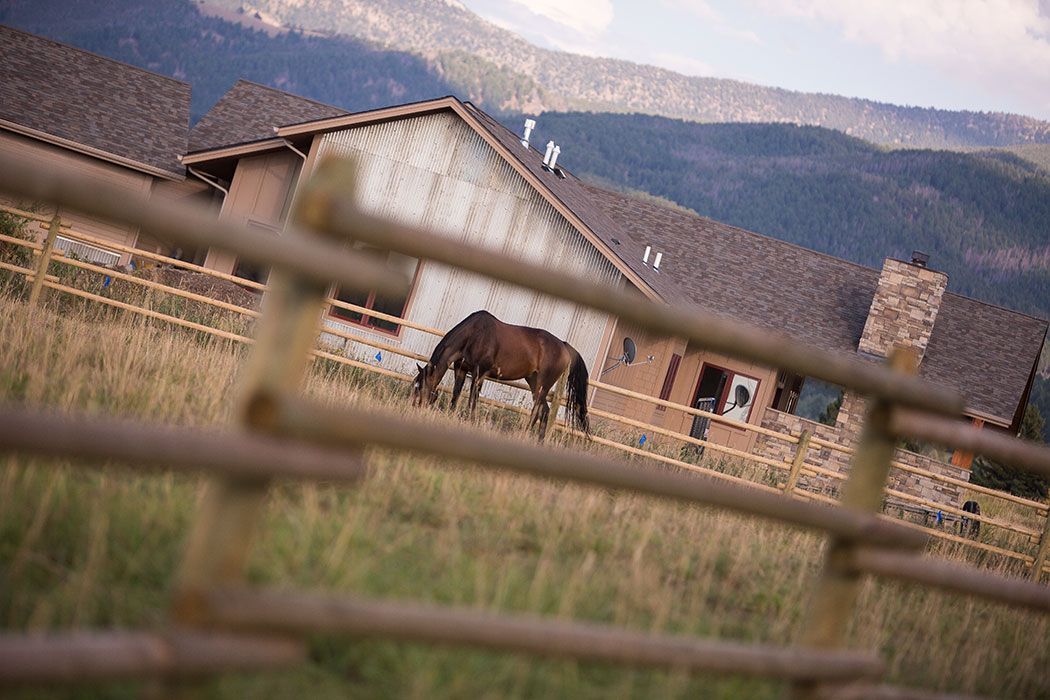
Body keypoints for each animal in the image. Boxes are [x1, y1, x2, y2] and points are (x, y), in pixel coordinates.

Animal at [411, 310, 590, 440]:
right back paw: (538, 440)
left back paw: (524, 434)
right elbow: (456, 395)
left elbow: (473, 399)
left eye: (422, 388)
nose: (414, 409)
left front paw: (471, 421)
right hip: (533, 381)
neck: (475, 334)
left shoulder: (479, 373)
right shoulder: (460, 369)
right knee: (543, 410)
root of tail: (564, 346)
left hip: (542, 385)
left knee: (537, 410)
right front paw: (451, 415)